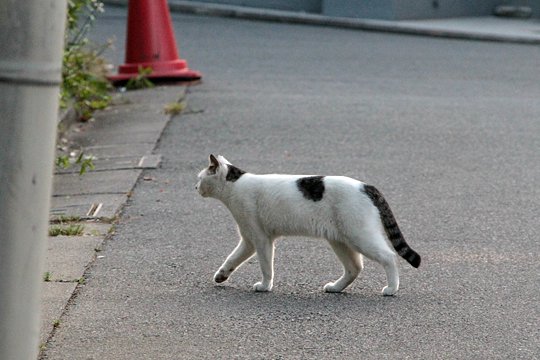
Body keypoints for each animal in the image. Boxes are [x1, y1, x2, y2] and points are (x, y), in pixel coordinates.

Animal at [197, 155, 422, 296]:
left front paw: (265, 286)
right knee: (355, 267)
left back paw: (391, 289)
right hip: (340, 240)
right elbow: (232, 259)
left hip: (360, 237)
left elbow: (266, 266)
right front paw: (221, 276)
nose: (195, 186)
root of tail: (367, 186)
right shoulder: (249, 240)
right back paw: (335, 287)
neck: (235, 186)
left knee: (389, 257)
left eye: (199, 178)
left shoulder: (261, 239)